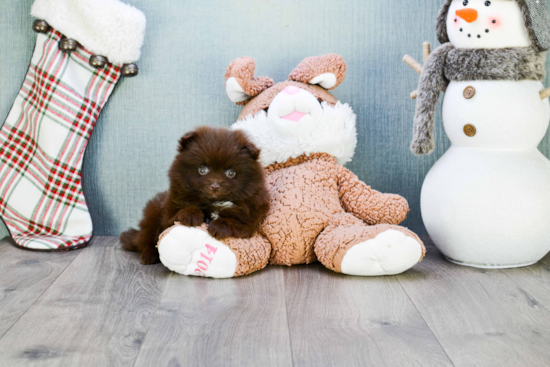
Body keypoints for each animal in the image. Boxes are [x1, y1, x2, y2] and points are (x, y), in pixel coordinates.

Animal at [119, 126, 270, 264]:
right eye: (202, 170)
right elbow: (178, 214)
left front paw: (219, 226)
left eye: (231, 173)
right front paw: (191, 215)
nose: (215, 185)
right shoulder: (169, 213)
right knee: (148, 239)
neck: (213, 202)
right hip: (153, 212)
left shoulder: (249, 219)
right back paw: (148, 255)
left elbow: (234, 222)